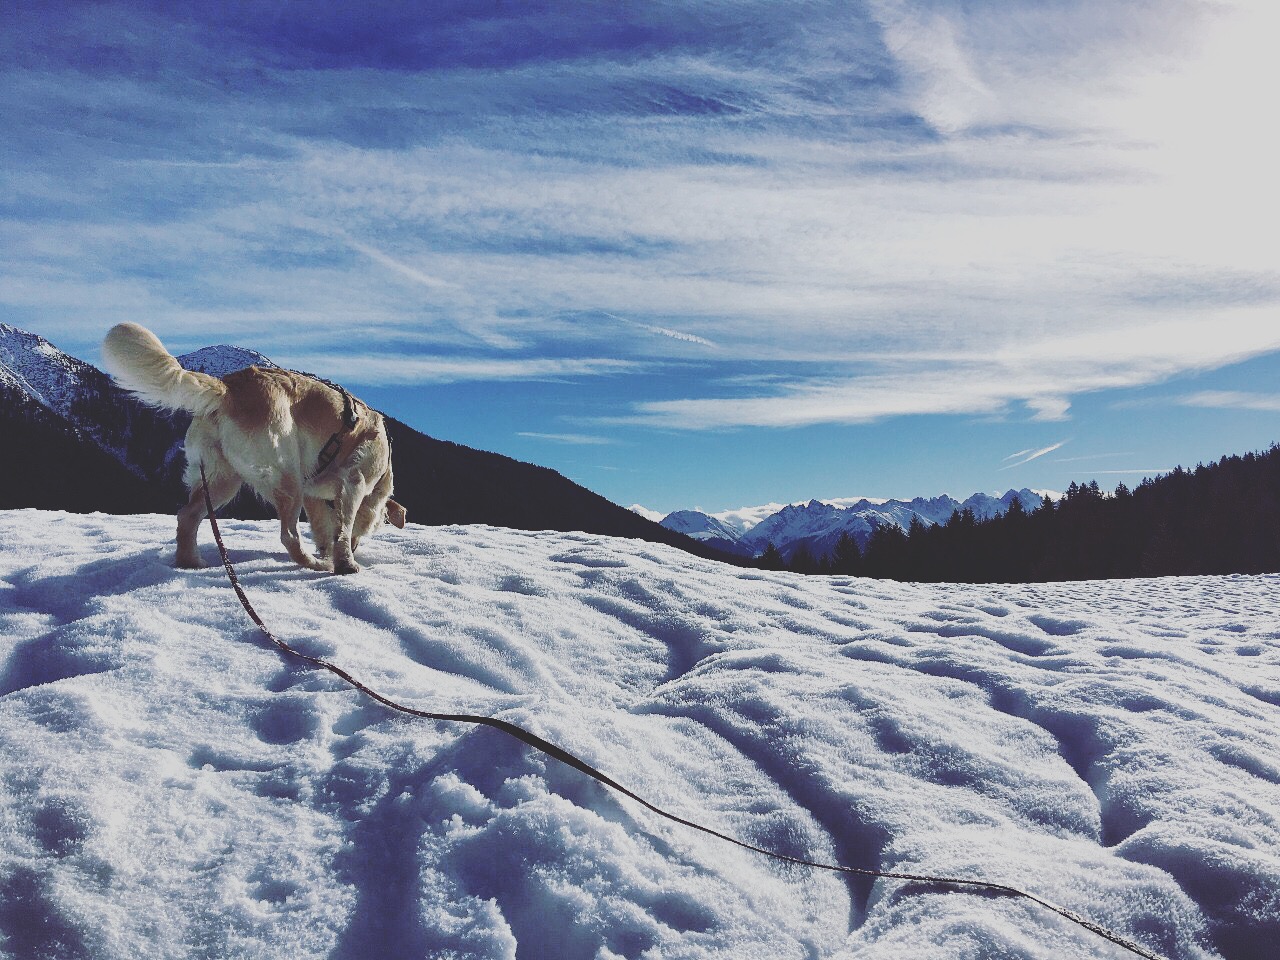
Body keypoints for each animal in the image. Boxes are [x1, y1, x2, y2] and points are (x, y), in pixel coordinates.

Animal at [103, 323, 404, 578]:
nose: (356, 548)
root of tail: (228, 388)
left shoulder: (314, 495)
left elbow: (323, 526)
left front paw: (329, 551)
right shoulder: (353, 483)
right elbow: (342, 528)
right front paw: (344, 563)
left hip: (222, 479)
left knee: (187, 516)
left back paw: (190, 562)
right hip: (287, 477)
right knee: (288, 535)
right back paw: (314, 564)